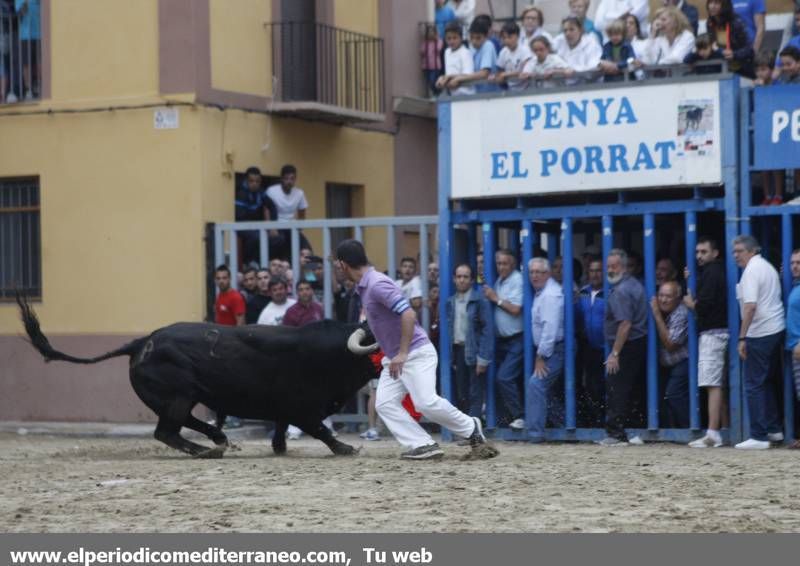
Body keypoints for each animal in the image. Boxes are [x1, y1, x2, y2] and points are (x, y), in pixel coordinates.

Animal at [17, 298, 382, 462]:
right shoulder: (302, 408)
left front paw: (279, 449)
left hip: (180, 396)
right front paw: (346, 447)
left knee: (182, 424)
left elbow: (282, 430)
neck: (334, 351)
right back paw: (207, 450)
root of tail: (141, 342)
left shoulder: (286, 409)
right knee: (167, 431)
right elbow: (320, 429)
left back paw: (217, 438)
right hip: (179, 392)